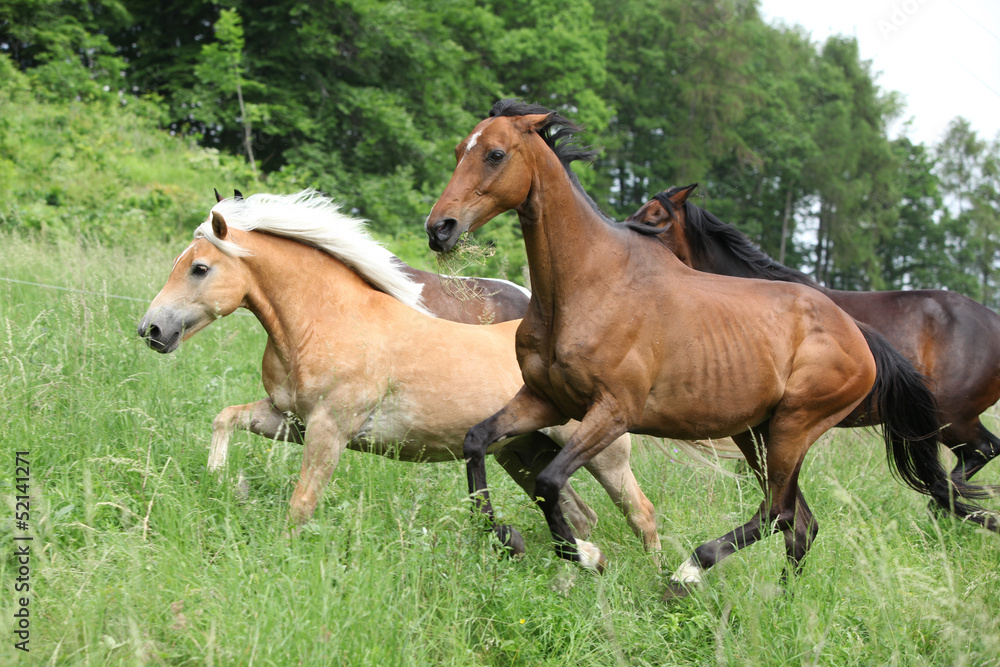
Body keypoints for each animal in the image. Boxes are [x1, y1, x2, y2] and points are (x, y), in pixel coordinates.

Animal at [137, 189, 660, 560]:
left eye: (199, 268)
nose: (151, 329)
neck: (325, 320)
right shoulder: (289, 419)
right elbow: (225, 418)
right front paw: (218, 479)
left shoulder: (329, 430)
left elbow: (301, 504)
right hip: (523, 452)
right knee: (580, 516)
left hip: (602, 453)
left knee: (642, 515)